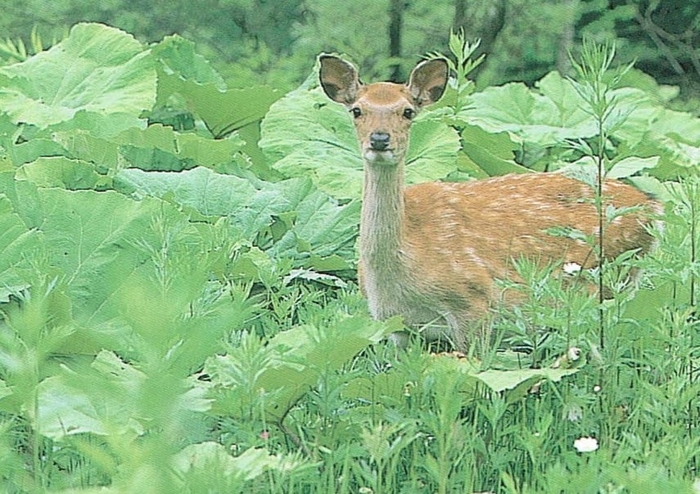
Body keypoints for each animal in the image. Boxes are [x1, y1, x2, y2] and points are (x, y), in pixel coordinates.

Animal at [320, 54, 660, 352]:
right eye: (356, 110)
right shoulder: (394, 325)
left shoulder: (475, 302)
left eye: (407, 112)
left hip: (601, 281)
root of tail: (652, 208)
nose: (379, 139)